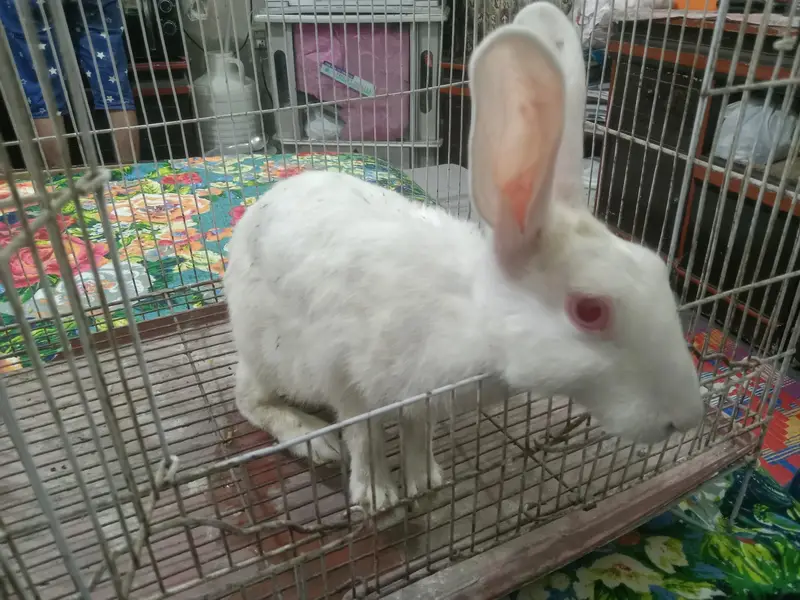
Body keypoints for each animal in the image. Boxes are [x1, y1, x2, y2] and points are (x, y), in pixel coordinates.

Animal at [224, 6, 705, 513]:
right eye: (590, 310)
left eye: (657, 268)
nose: (688, 417)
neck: (470, 318)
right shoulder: (347, 382)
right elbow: (364, 438)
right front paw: (377, 496)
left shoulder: (416, 397)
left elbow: (418, 433)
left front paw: (425, 482)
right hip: (270, 357)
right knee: (249, 400)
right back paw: (314, 439)